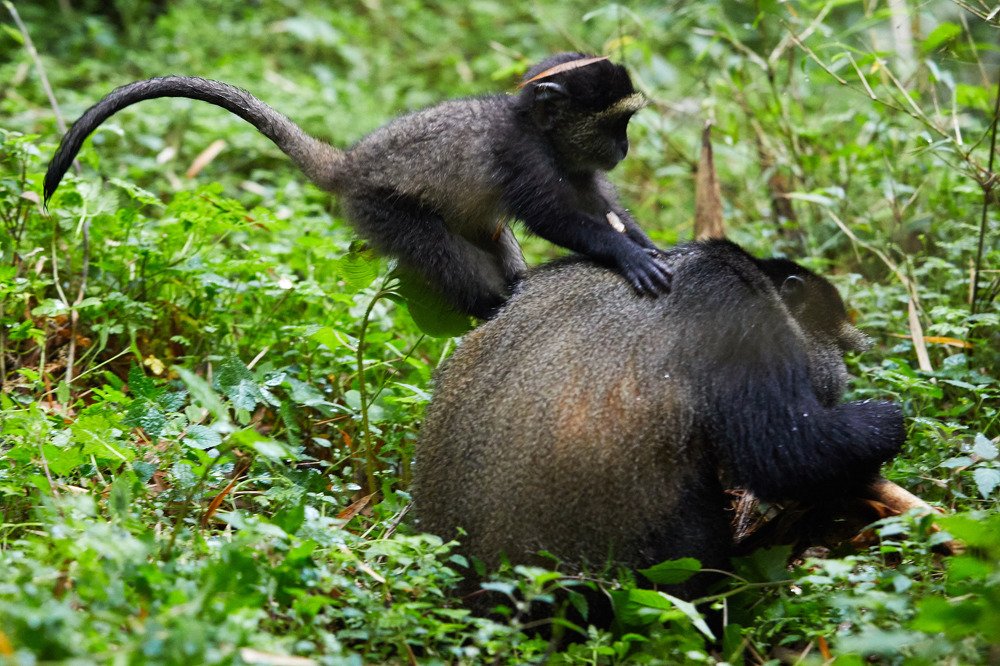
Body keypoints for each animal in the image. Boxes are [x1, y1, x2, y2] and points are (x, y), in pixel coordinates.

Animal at [42, 53, 671, 319]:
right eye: (617, 124)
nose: (624, 148)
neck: (538, 129)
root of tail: (351, 165)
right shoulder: (523, 158)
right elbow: (556, 217)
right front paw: (625, 256)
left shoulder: (573, 164)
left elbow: (599, 203)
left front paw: (645, 245)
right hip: (383, 211)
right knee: (446, 256)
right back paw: (491, 307)